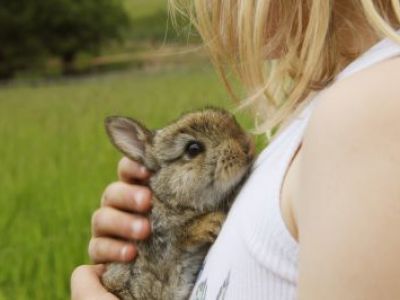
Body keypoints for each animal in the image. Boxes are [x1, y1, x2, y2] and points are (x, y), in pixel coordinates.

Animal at [101, 108, 255, 300]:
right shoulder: (160, 244)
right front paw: (212, 222)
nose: (247, 146)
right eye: (193, 149)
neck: (169, 200)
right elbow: (182, 234)